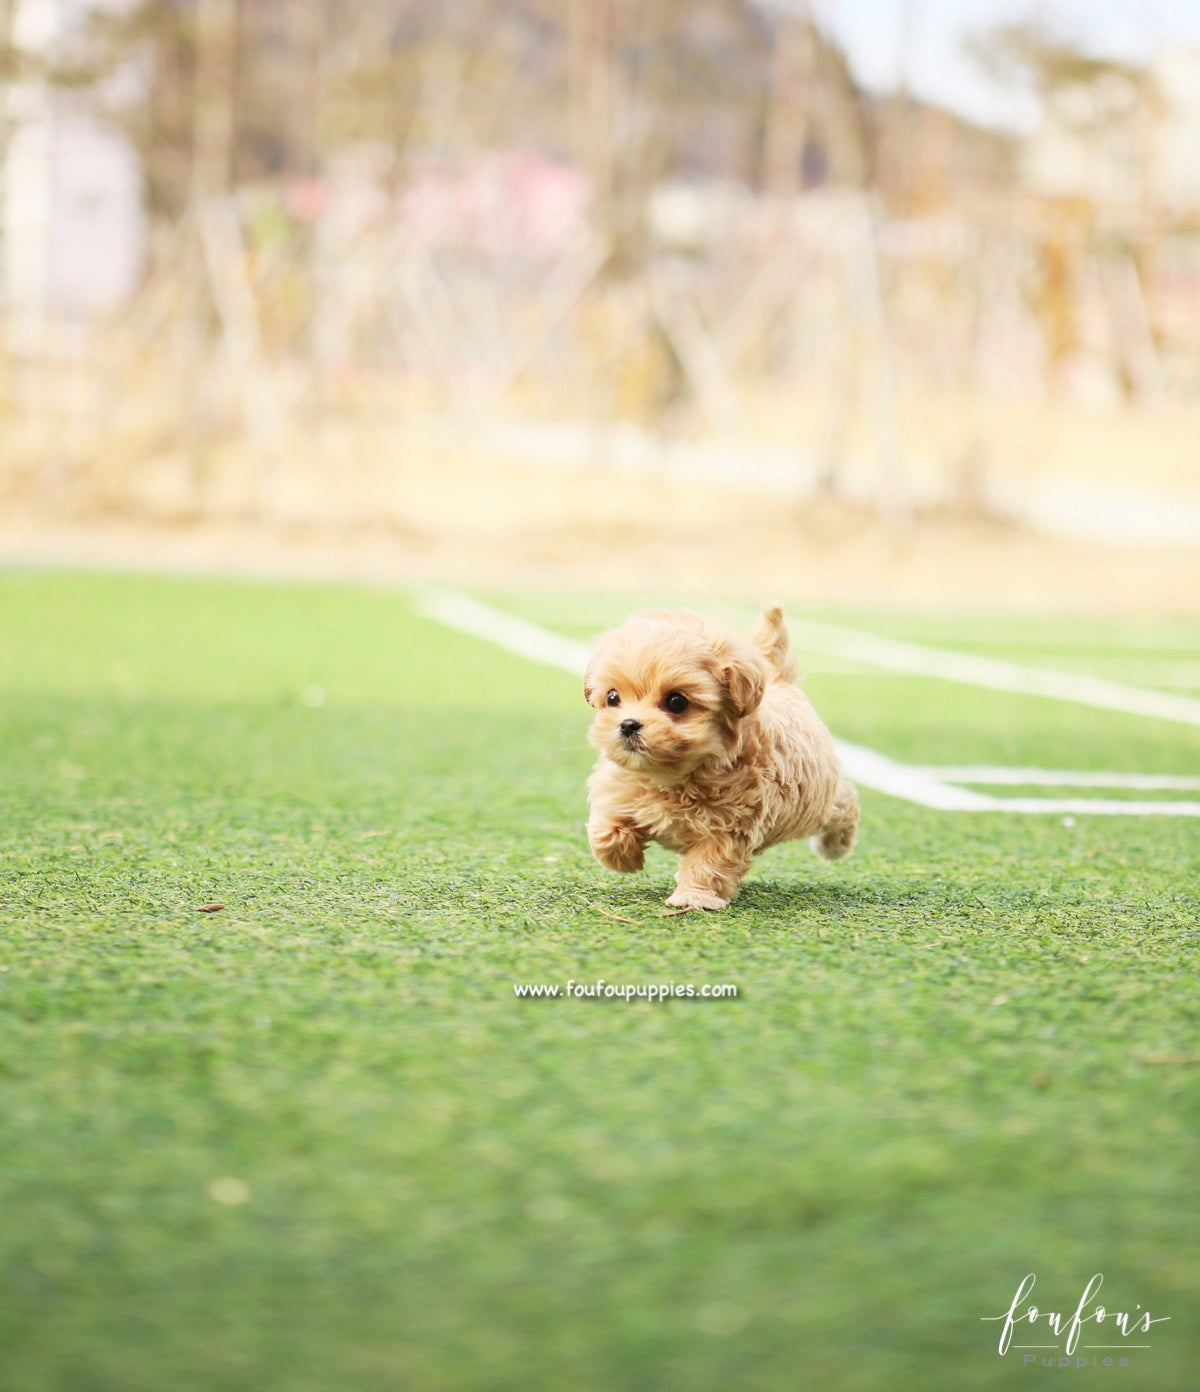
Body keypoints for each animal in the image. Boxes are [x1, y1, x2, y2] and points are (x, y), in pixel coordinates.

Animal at [584, 601, 857, 907]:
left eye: (676, 702)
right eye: (612, 698)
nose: (628, 724)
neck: (672, 777)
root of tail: (778, 681)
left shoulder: (730, 827)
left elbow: (708, 864)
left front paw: (693, 897)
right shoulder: (617, 790)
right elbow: (605, 829)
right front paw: (624, 857)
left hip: (815, 801)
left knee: (845, 802)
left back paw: (836, 845)